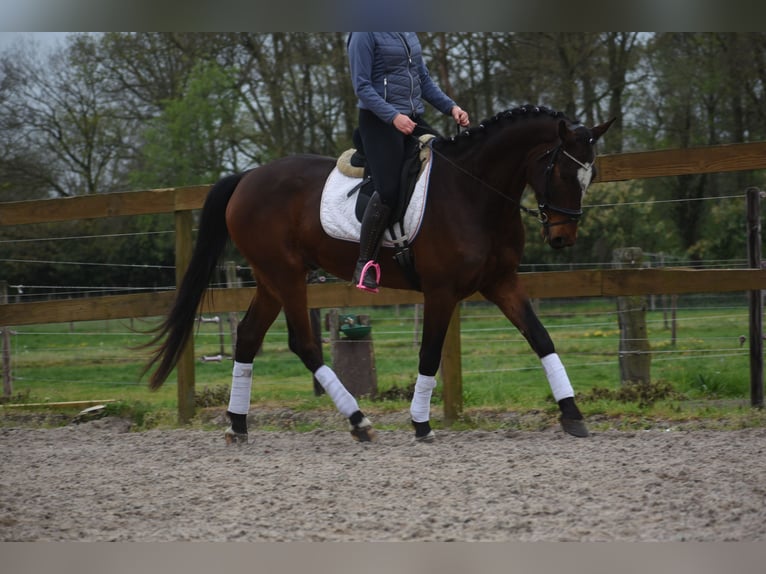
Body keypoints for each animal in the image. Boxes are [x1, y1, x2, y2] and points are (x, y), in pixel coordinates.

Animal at [144, 104, 614, 444]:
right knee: (303, 343)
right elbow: (429, 354)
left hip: (270, 278)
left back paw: (237, 425)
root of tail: (246, 178)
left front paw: (572, 414)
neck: (473, 192)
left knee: (247, 336)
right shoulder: (441, 292)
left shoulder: (501, 283)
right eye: (561, 170)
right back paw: (358, 420)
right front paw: (421, 425)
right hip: (287, 275)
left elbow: (541, 338)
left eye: (590, 174)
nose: (563, 237)